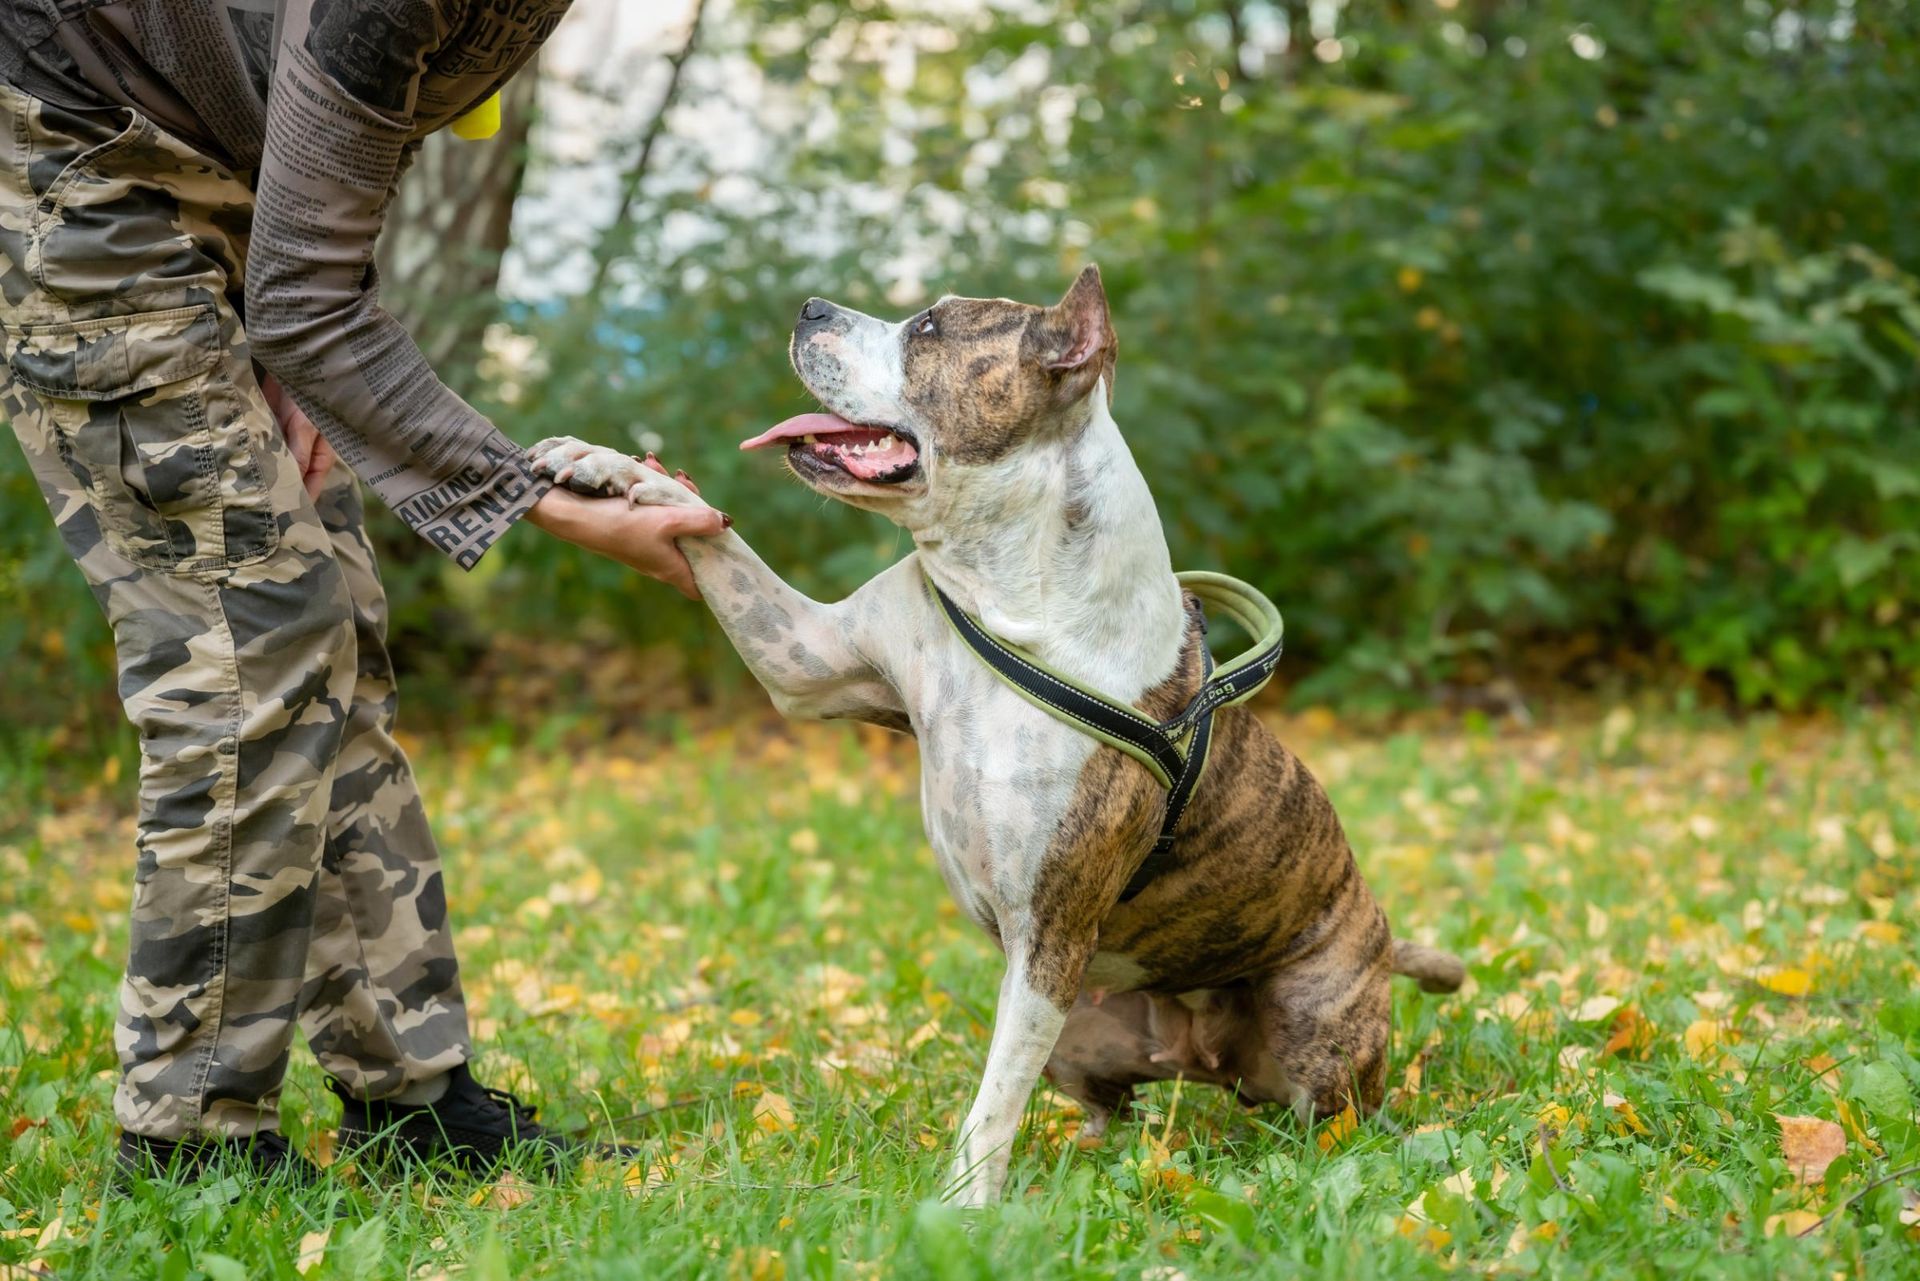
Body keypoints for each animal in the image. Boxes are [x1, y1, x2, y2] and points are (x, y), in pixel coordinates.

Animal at [526, 265, 1451, 1206]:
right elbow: (727, 550)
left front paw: (960, 1208)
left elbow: (993, 1097)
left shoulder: (1048, 934)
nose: (810, 308)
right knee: (1113, 1107)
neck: (1003, 583)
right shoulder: (807, 658)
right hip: (1084, 1029)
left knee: (1331, 1116)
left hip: (1304, 1027)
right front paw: (611, 468)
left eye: (930, 329)